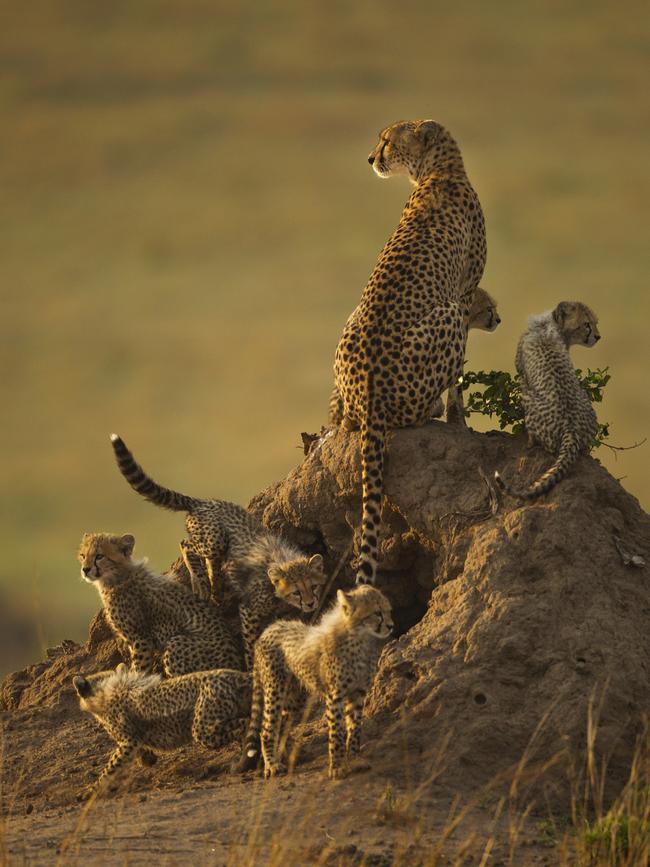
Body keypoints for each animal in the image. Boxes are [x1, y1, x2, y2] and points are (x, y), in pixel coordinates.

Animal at [336, 118, 484, 584]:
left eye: (387, 140)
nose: (371, 157)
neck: (439, 171)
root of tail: (369, 393)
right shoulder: (464, 294)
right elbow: (460, 378)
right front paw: (458, 417)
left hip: (349, 324)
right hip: (447, 315)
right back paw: (433, 410)